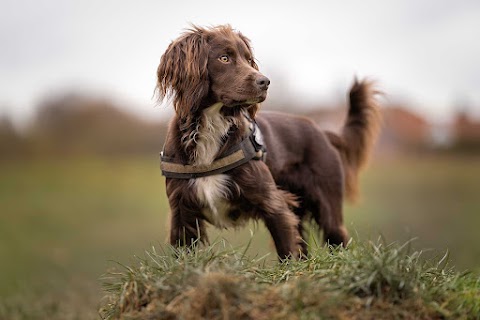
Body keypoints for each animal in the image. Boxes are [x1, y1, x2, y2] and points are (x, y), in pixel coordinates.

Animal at [156, 25, 380, 260]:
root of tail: (323, 131)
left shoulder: (274, 204)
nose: (264, 82)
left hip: (328, 202)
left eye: (248, 59)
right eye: (224, 58)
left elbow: (287, 251)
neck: (212, 125)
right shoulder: (182, 213)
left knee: (336, 237)